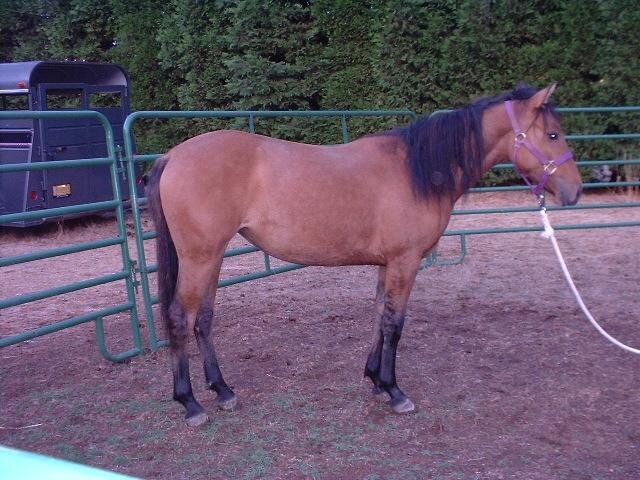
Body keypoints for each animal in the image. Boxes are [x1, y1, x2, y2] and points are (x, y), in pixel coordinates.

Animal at [146, 84, 582, 426]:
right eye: (554, 135)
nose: (575, 191)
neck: (416, 171)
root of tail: (173, 156)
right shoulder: (406, 262)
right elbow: (395, 323)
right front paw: (394, 391)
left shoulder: (387, 264)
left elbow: (377, 316)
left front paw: (374, 379)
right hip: (200, 257)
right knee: (180, 318)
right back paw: (190, 404)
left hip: (213, 257)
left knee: (203, 319)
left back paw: (222, 390)